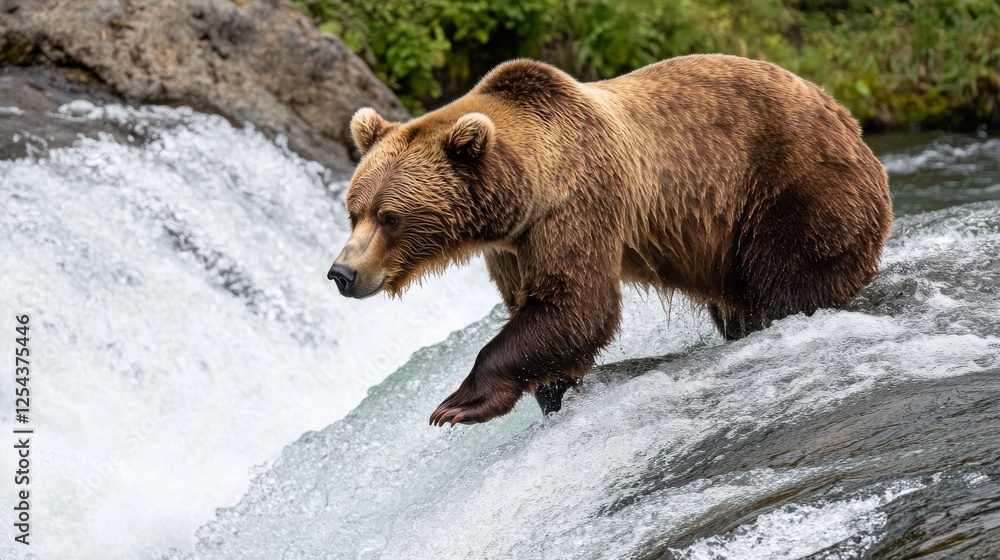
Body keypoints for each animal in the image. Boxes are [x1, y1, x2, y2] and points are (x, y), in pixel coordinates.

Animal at [327, 54, 892, 427]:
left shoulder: (576, 204)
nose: (342, 273)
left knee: (790, 282)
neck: (525, 189)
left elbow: (576, 303)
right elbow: (539, 310)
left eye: (390, 217)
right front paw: (552, 393)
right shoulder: (511, 247)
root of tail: (848, 120)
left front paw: (458, 403)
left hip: (792, 190)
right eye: (354, 211)